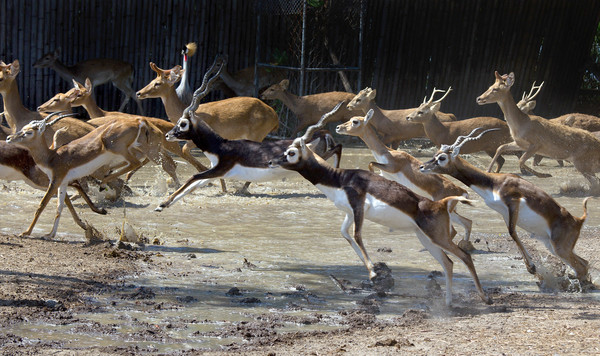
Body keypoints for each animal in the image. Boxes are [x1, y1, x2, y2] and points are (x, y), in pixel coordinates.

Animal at [7, 112, 169, 238]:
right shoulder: (63, 182)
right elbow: (59, 207)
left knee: (134, 163)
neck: (52, 157)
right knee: (135, 164)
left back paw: (103, 185)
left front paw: (25, 233)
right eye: (23, 128)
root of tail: (138, 121)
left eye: (29, 132)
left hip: (116, 147)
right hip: (132, 148)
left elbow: (42, 205)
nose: (9, 138)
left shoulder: (55, 180)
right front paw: (50, 234)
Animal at [268, 136, 492, 306]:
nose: (270, 162)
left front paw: (374, 274)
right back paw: (447, 302)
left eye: (291, 153)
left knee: (464, 256)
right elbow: (345, 234)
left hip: (438, 238)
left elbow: (357, 235)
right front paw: (372, 270)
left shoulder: (359, 207)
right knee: (448, 263)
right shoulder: (349, 213)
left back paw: (484, 298)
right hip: (426, 239)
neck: (339, 179)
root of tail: (441, 203)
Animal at [336, 108, 476, 250]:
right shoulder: (386, 175)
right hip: (452, 211)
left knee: (454, 230)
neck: (387, 152)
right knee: (467, 222)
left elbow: (371, 163)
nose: (338, 127)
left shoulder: (391, 167)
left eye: (355, 121)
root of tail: (460, 190)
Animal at [420, 128, 592, 284]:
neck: (493, 183)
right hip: (552, 245)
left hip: (560, 248)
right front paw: (530, 266)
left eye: (442, 157)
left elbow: (512, 232)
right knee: (585, 263)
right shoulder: (504, 212)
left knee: (582, 267)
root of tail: (578, 220)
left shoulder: (513, 202)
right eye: (435, 154)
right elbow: (513, 233)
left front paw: (532, 267)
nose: (422, 167)